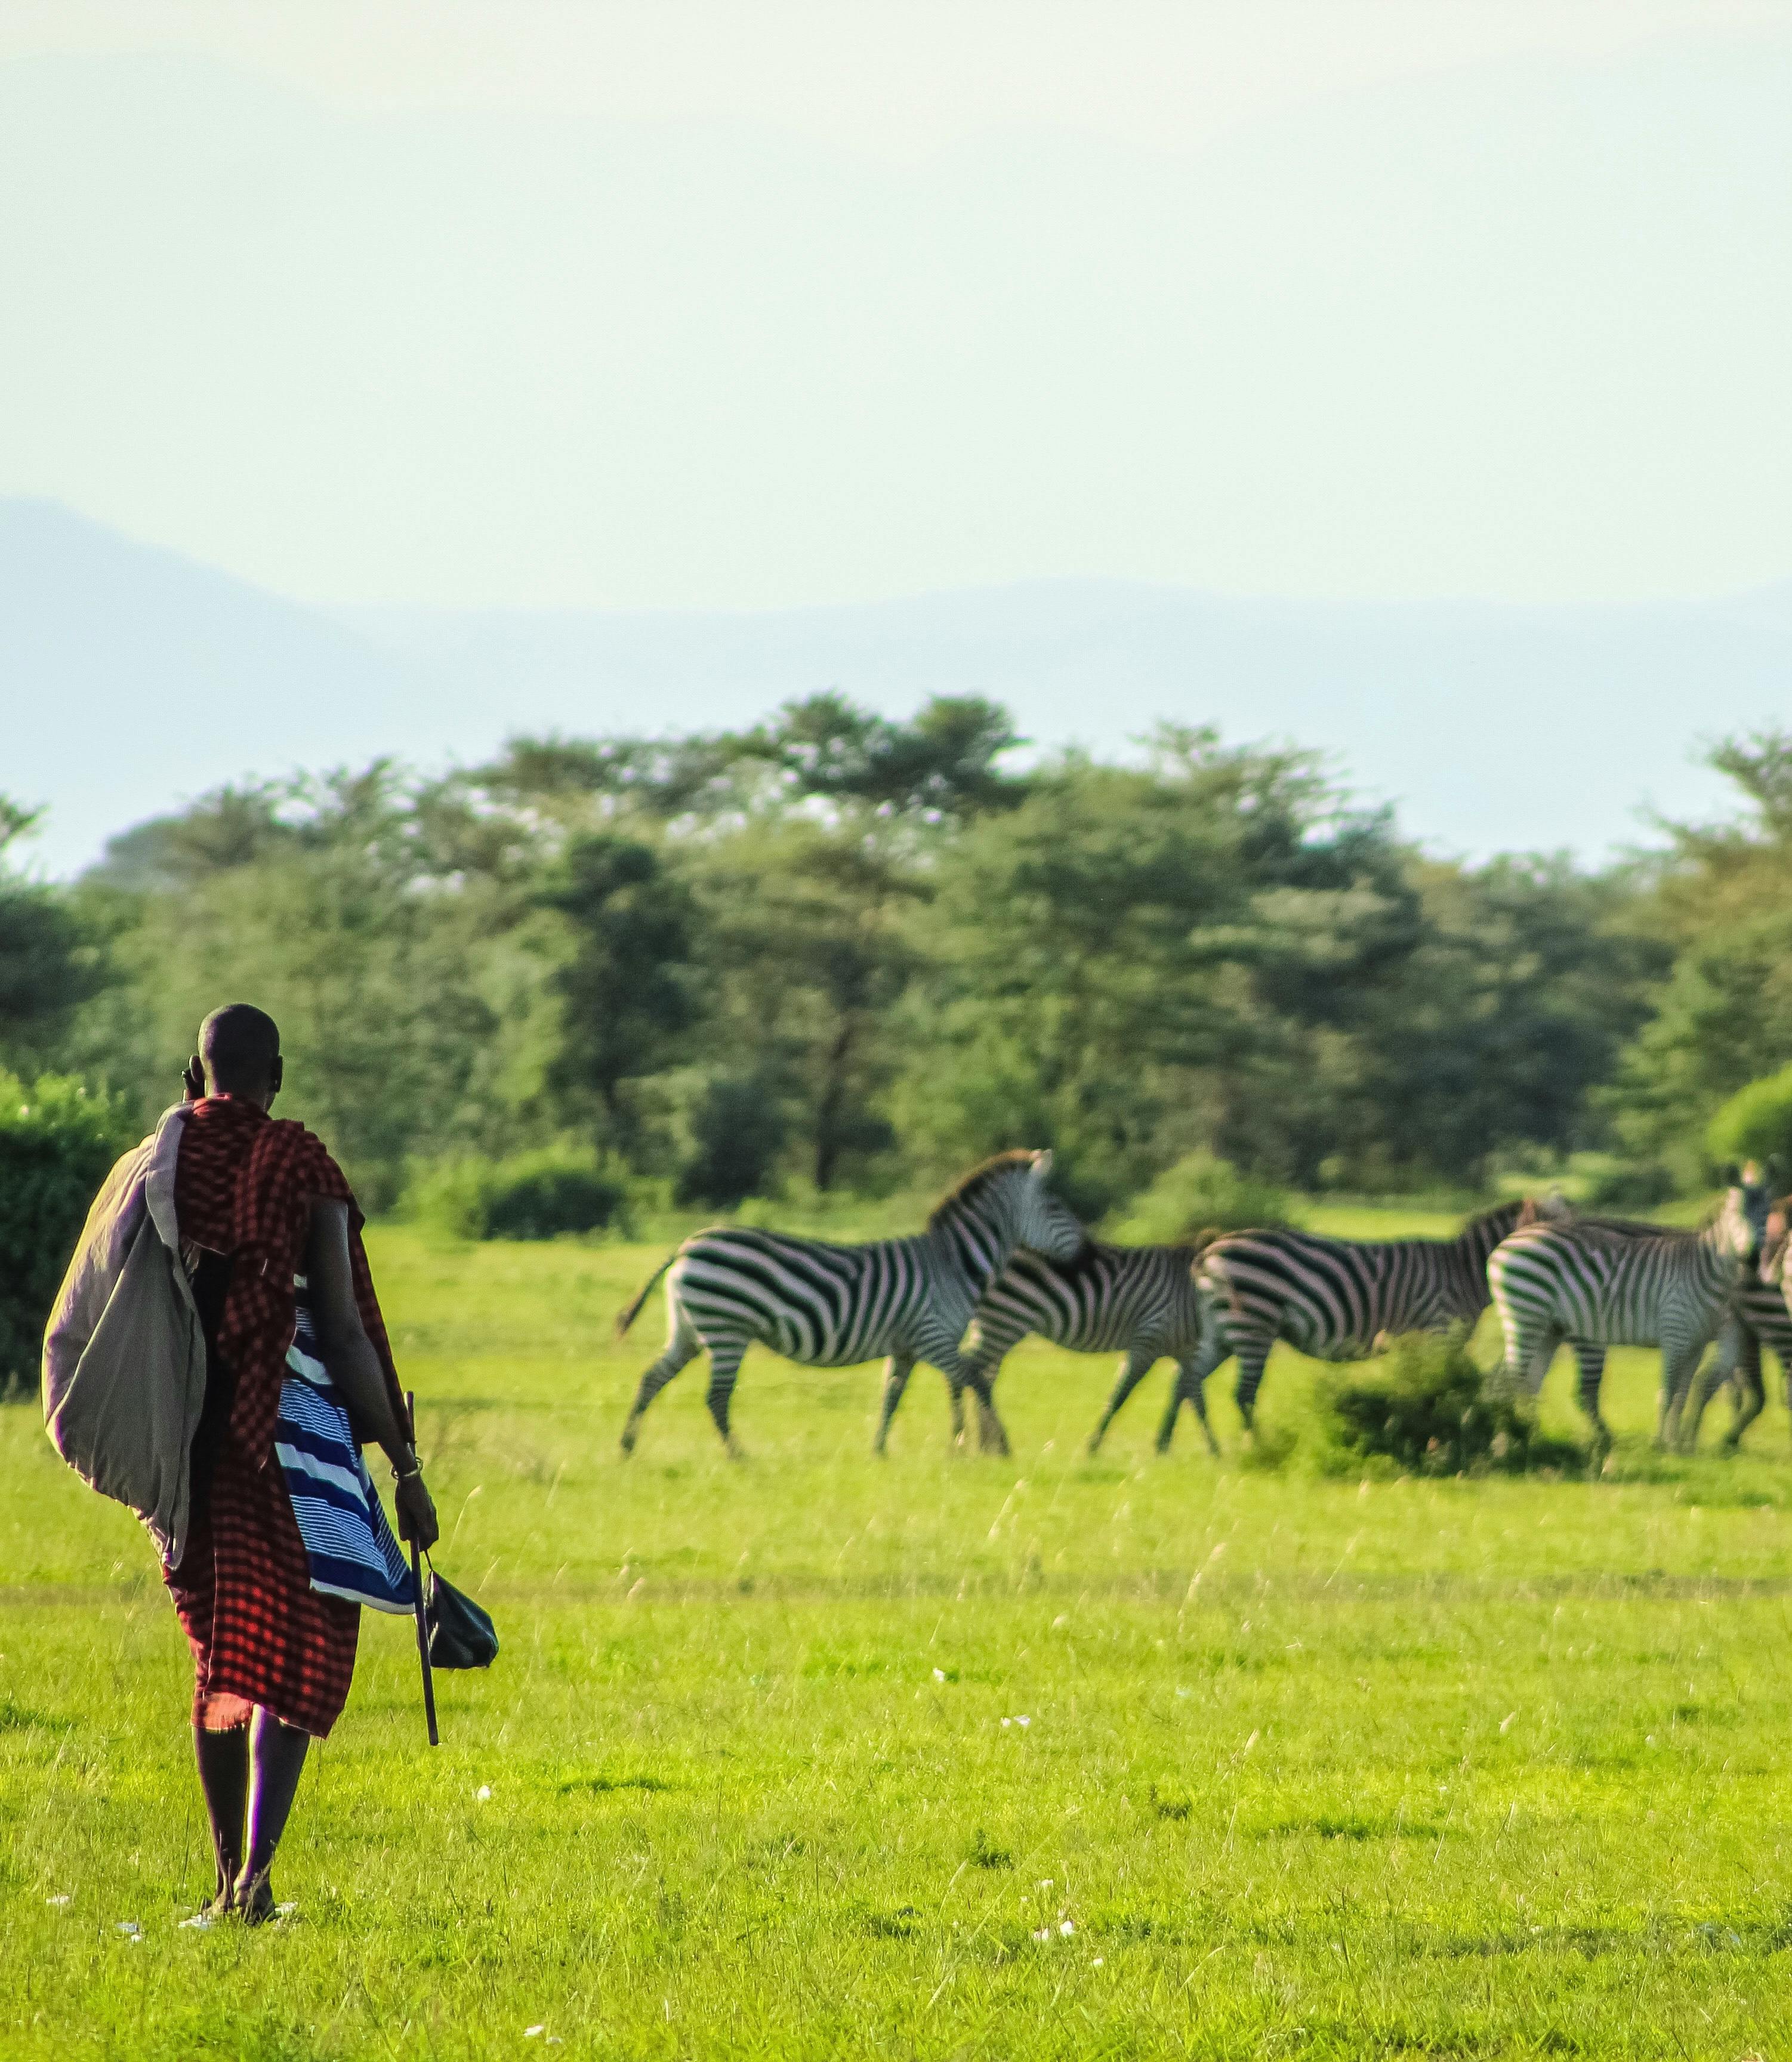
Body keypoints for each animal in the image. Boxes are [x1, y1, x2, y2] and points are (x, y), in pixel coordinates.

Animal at [606, 1146, 1080, 1468]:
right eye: (1054, 1205)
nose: (1084, 1252)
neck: (952, 1263)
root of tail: (687, 1244)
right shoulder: (933, 1336)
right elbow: (974, 1380)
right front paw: (995, 1447)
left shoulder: (907, 1345)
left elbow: (892, 1396)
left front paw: (882, 1451)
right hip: (727, 1330)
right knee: (716, 1397)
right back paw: (739, 1457)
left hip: (689, 1330)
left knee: (651, 1379)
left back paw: (627, 1448)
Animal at [928, 1237, 1212, 1468]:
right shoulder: (1150, 1337)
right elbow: (1120, 1395)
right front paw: (1093, 1449)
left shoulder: (1186, 1351)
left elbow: (1190, 1396)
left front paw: (1203, 1449)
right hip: (1007, 1318)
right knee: (968, 1370)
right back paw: (968, 1445)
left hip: (994, 1324)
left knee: (980, 1375)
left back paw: (988, 1449)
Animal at [1146, 1204, 1550, 1459]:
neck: (1460, 1271)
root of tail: (1208, 1253)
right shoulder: (1438, 1329)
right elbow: (1440, 1389)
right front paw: (1440, 1438)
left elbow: (1422, 1388)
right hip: (1253, 1324)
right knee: (1242, 1393)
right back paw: (1262, 1448)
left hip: (1221, 1331)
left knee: (1185, 1380)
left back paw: (1169, 1446)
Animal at [1485, 1187, 1748, 1459]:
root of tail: (1503, 1248)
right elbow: (1706, 1382)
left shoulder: (1713, 1334)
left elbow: (1706, 1382)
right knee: (1525, 1382)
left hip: (1546, 1327)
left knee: (1523, 1381)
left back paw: (1526, 1435)